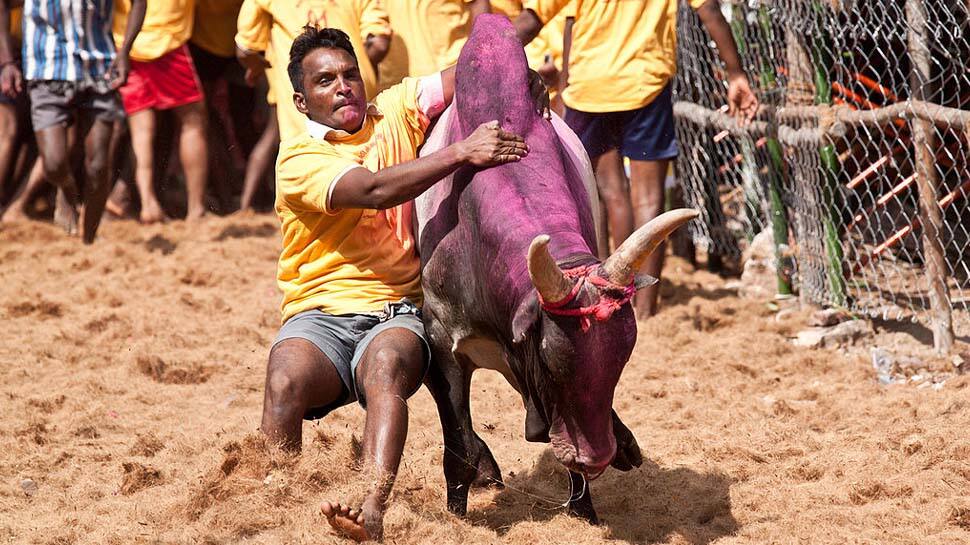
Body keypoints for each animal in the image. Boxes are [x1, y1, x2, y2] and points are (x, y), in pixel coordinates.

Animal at [414, 14, 696, 520]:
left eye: (622, 360)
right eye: (552, 360)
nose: (596, 457)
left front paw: (586, 508)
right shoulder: (443, 343)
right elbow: (459, 443)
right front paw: (459, 506)